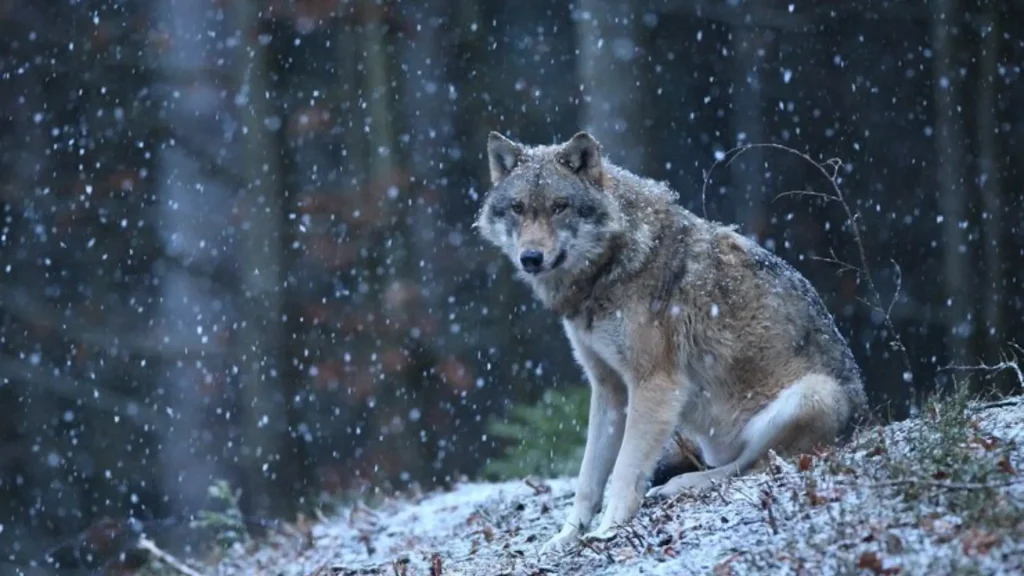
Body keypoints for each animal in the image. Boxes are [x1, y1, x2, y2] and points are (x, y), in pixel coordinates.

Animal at [475, 131, 870, 555]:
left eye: (559, 206)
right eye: (518, 208)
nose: (530, 257)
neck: (611, 265)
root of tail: (866, 419)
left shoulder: (656, 386)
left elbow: (624, 470)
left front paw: (607, 531)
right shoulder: (608, 389)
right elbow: (587, 480)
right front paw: (565, 538)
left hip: (813, 394)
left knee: (755, 466)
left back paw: (681, 485)